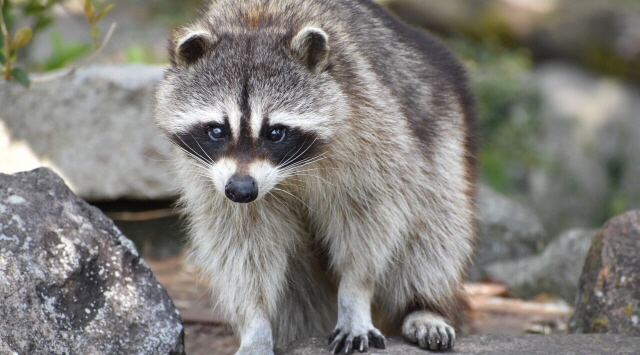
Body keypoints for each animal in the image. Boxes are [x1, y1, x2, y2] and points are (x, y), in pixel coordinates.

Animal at [154, 0, 476, 354]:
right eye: (216, 130)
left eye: (275, 133)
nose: (241, 191)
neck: (255, 20)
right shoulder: (209, 178)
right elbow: (241, 246)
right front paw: (255, 323)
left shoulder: (371, 132)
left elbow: (369, 224)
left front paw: (355, 295)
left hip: (441, 141)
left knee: (434, 230)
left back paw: (425, 306)